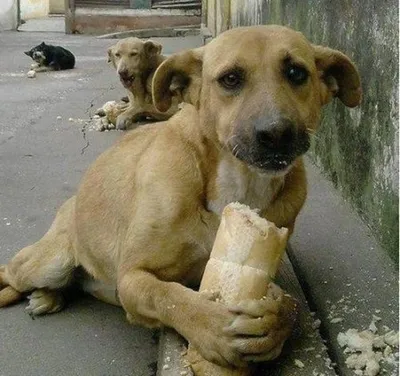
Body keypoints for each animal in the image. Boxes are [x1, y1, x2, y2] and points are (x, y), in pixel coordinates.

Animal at [0, 26, 360, 370]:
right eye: (231, 78)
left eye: (297, 73)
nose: (276, 134)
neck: (236, 183)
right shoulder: (131, 278)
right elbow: (168, 295)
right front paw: (212, 325)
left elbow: (291, 304)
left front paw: (276, 322)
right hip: (46, 263)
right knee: (11, 270)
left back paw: (48, 298)